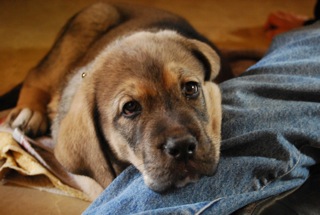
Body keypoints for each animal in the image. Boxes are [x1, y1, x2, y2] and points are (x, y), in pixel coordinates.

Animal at [5, 2, 225, 191]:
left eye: (190, 88)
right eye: (130, 107)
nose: (182, 147)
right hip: (92, 19)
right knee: (36, 75)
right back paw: (30, 112)